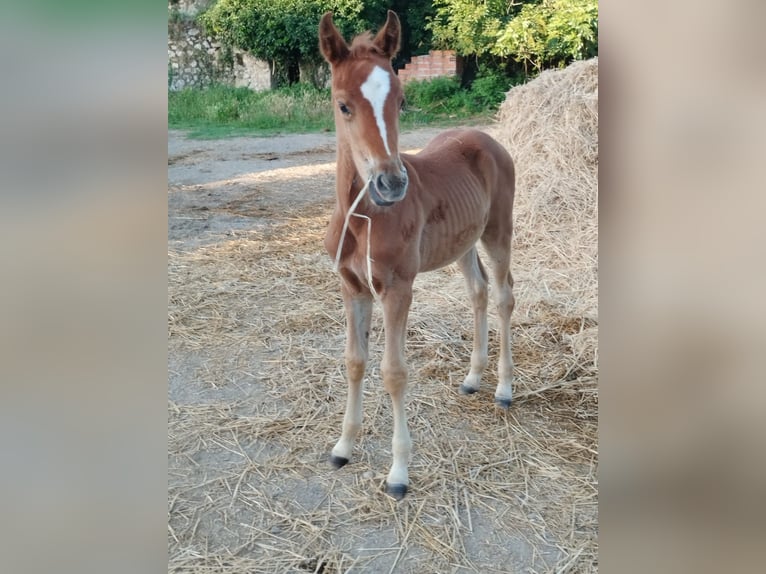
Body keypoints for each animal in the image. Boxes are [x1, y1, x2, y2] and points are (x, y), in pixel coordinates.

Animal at [319, 10, 516, 500]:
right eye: (343, 104)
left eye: (401, 100)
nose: (391, 184)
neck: (362, 217)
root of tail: (488, 138)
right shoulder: (352, 287)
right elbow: (354, 361)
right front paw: (344, 446)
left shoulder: (397, 289)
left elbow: (393, 372)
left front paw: (398, 473)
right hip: (463, 242)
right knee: (478, 291)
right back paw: (472, 379)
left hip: (498, 231)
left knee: (504, 295)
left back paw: (504, 388)